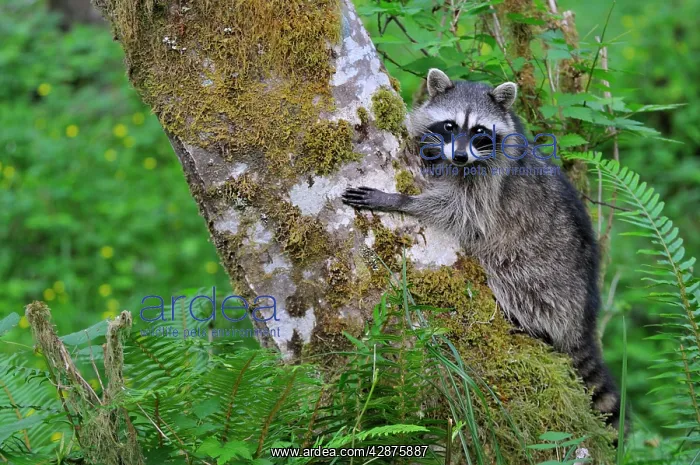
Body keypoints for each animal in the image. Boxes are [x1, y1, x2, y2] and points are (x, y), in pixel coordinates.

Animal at [343, 69, 624, 431]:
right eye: (450, 125)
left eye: (478, 131)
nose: (460, 156)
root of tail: (583, 320)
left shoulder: (492, 181)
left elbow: (462, 212)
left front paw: (400, 200)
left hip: (541, 278)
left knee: (518, 283)